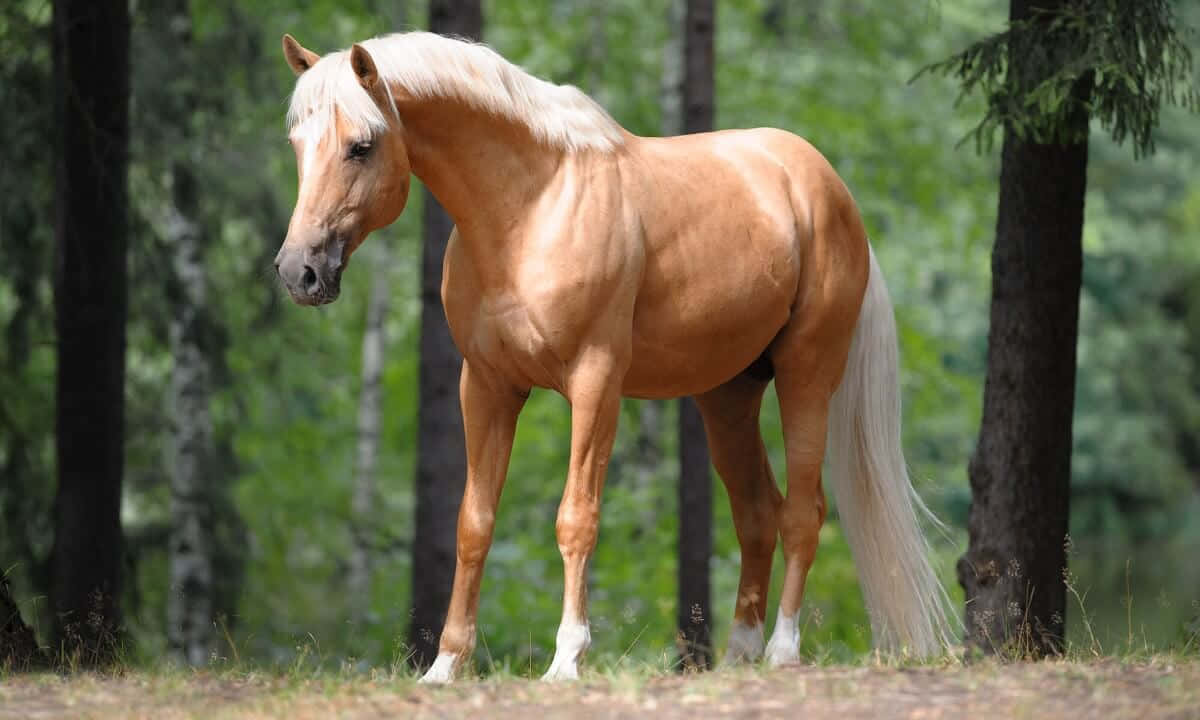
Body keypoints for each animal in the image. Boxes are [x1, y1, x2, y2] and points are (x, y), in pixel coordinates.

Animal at [275, 31, 954, 683]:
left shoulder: (595, 381)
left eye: (361, 146)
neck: (530, 210)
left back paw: (782, 650)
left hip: (806, 375)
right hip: (728, 395)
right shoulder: (487, 385)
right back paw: (740, 654)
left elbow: (576, 518)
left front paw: (566, 660)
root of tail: (832, 192)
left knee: (803, 513)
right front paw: (445, 665)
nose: (298, 271)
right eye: (297, 144)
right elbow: (474, 522)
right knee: (757, 513)